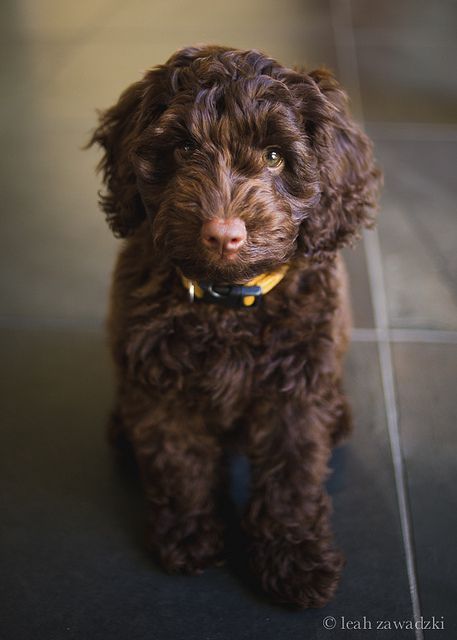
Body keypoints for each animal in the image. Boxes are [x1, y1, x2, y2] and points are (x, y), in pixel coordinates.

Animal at [87, 43, 380, 604]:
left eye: (274, 156)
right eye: (183, 150)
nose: (223, 234)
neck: (227, 304)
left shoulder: (295, 394)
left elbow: (292, 478)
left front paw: (295, 558)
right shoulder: (161, 387)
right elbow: (179, 460)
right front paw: (188, 534)